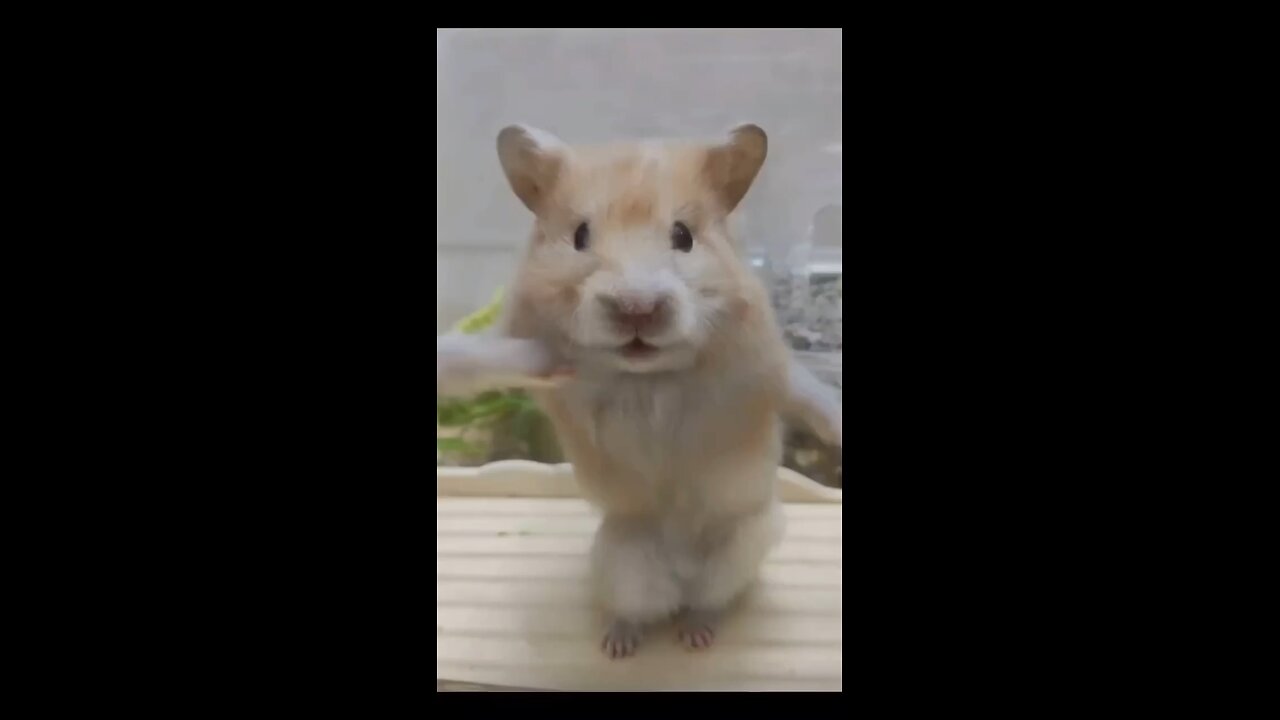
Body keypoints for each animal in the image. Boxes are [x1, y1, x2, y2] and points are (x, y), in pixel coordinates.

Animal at [465, 121, 834, 655]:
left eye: (683, 236)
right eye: (580, 236)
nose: (636, 308)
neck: (647, 375)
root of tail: (681, 572)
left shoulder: (766, 373)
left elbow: (805, 393)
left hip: (743, 545)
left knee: (711, 599)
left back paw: (697, 634)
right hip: (620, 559)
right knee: (639, 608)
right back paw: (618, 643)